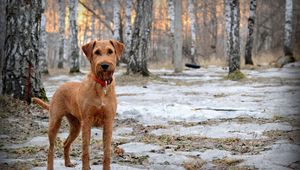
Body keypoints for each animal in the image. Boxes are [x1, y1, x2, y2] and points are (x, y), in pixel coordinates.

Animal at [33, 39, 124, 170]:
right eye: (97, 52)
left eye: (110, 51)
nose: (104, 65)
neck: (101, 85)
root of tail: (61, 86)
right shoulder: (87, 122)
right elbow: (85, 150)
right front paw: (86, 167)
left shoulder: (108, 123)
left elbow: (107, 151)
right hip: (55, 122)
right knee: (50, 148)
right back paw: (50, 166)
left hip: (76, 126)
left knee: (65, 143)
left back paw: (68, 163)